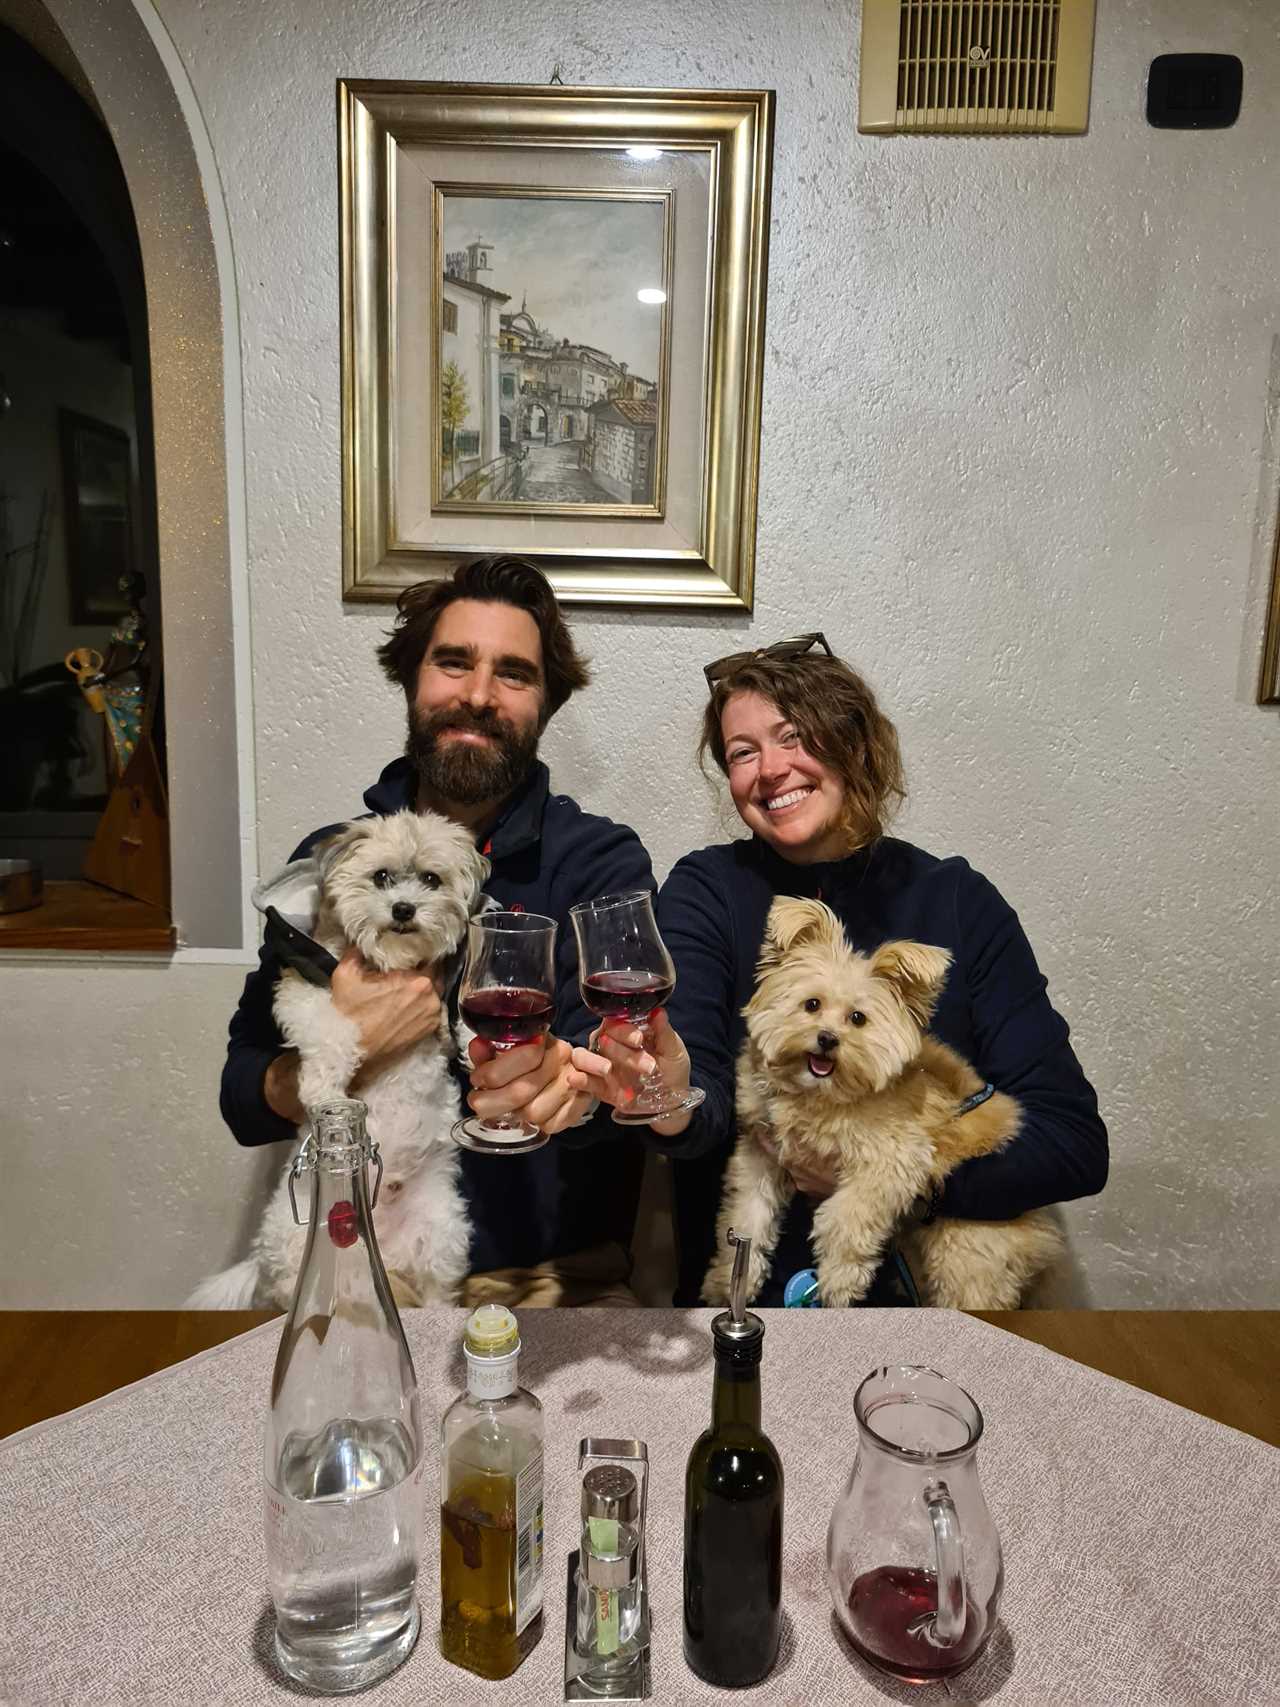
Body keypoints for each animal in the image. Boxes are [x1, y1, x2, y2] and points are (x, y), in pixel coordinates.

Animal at [187, 809, 488, 1304]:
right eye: (380, 876)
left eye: (431, 878)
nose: (403, 909)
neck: (390, 964)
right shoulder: (303, 995)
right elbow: (332, 1032)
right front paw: (323, 1089)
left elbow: (462, 1015)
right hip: (295, 1239)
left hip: (442, 1231)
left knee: (436, 1291)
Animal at [703, 894, 1064, 1304]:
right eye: (812, 1004)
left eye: (858, 1018)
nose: (827, 1039)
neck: (819, 1095)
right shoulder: (761, 1155)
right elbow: (746, 1216)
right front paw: (729, 1280)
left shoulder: (893, 1161)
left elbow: (846, 1219)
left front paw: (839, 1280)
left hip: (968, 1255)